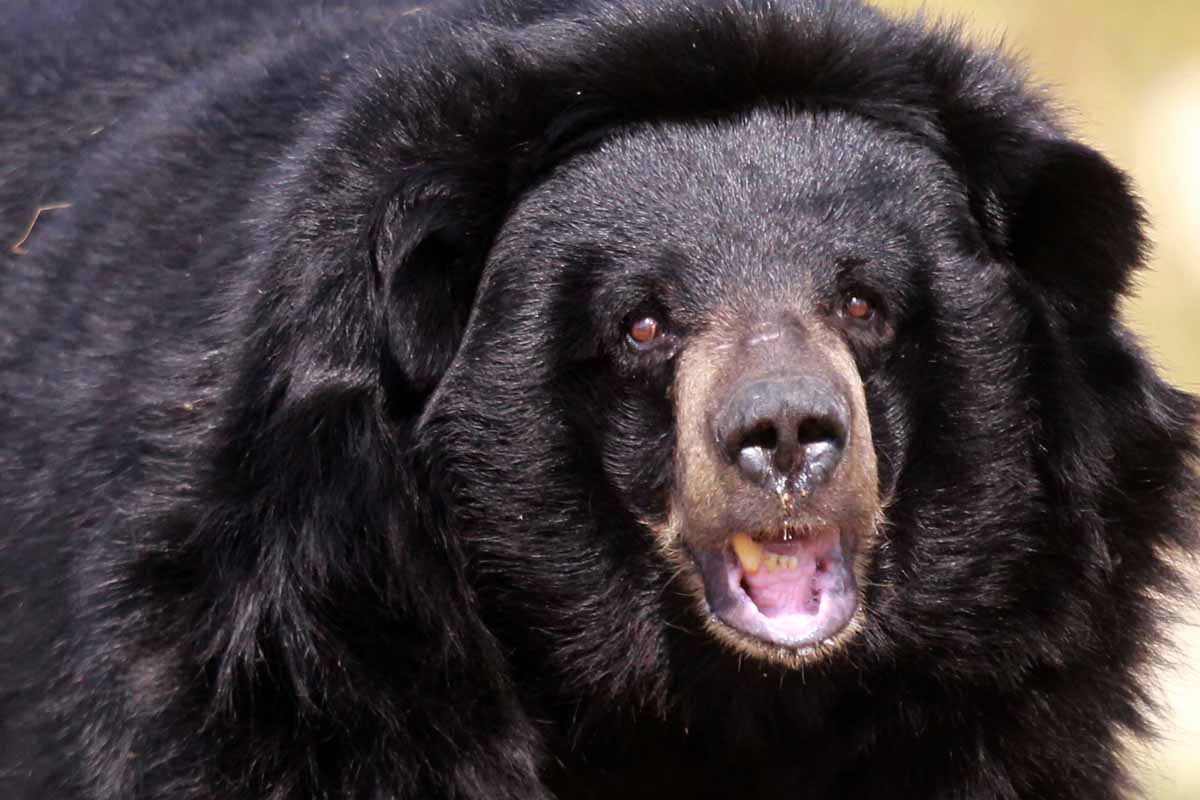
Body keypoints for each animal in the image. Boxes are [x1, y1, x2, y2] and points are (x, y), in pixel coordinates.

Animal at [2, 1, 1200, 800]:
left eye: (865, 303)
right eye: (643, 324)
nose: (785, 434)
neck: (728, 707)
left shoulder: (1001, 681)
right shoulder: (302, 645)